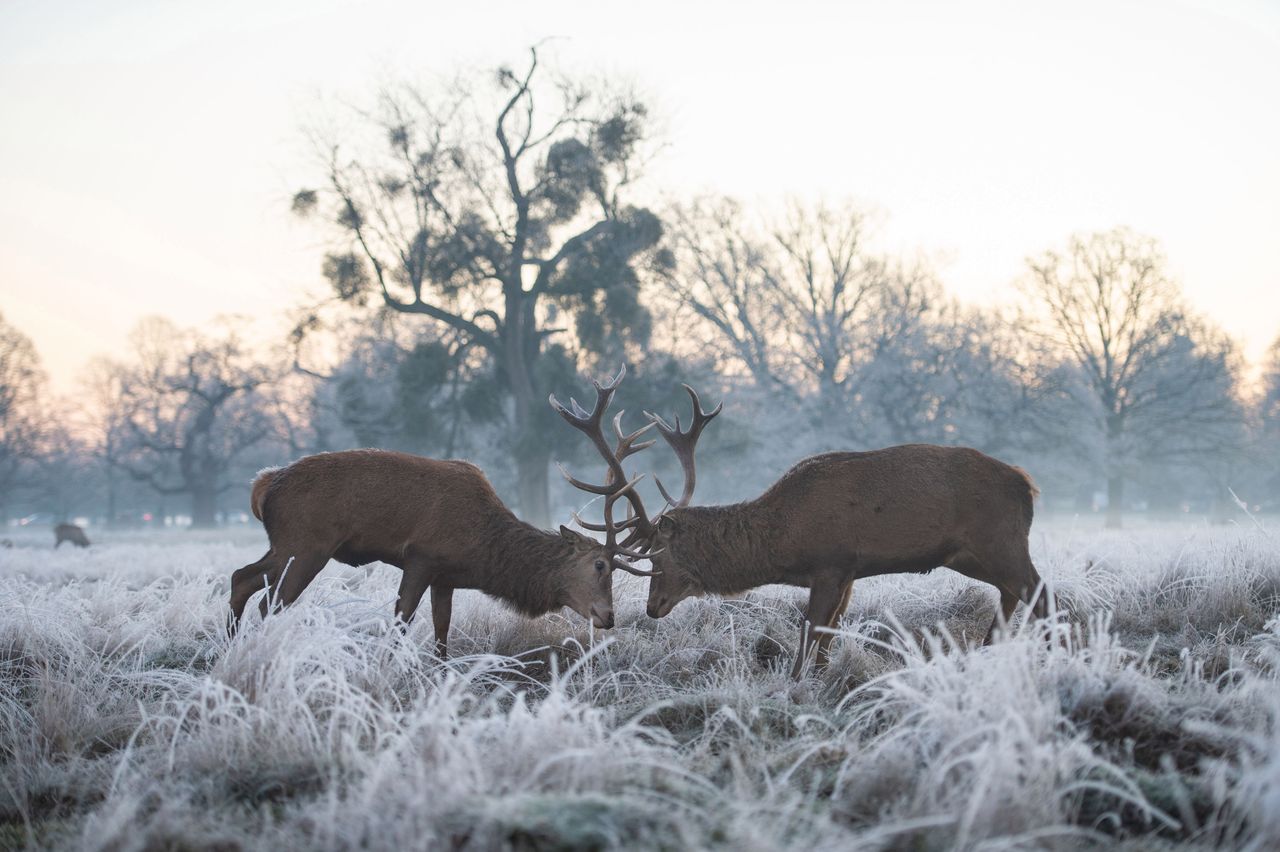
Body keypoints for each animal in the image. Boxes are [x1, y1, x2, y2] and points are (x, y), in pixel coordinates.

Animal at [224, 376, 655, 652]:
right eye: (600, 565)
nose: (609, 616)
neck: (482, 551)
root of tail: (263, 485)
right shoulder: (421, 557)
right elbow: (401, 622)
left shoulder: (446, 577)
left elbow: (442, 633)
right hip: (306, 544)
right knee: (269, 601)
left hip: (286, 544)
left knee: (241, 577)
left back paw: (229, 647)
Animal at [591, 383, 1049, 675]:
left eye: (658, 556)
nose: (653, 607)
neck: (782, 542)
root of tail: (1027, 484)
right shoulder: (848, 572)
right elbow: (828, 633)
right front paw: (822, 679)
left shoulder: (831, 563)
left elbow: (811, 628)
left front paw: (795, 682)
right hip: (970, 554)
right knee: (1012, 593)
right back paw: (990, 650)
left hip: (1001, 540)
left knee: (1039, 590)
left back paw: (1055, 652)